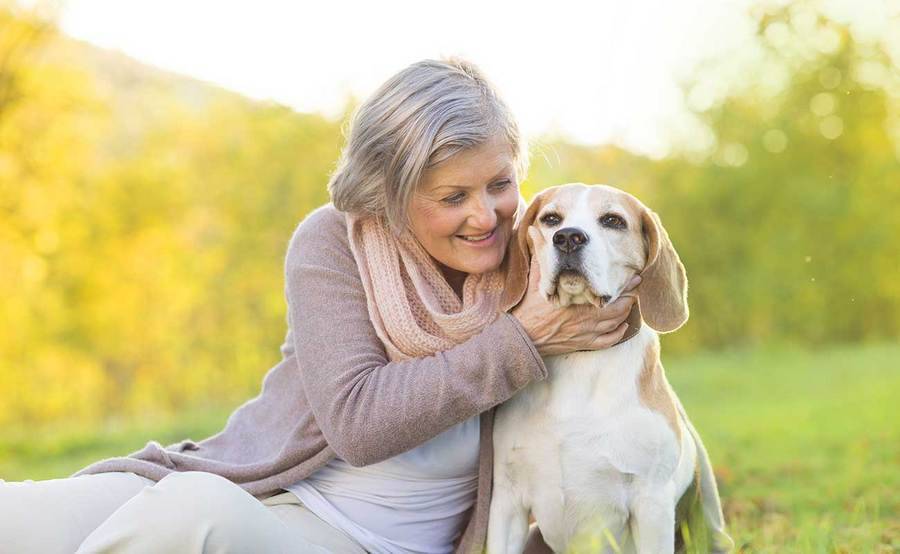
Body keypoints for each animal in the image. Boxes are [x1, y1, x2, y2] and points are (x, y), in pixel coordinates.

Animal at [488, 183, 736, 548]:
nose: (568, 237)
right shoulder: (508, 502)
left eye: (612, 220)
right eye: (551, 219)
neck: (577, 359)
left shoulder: (651, 504)